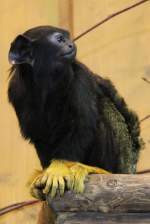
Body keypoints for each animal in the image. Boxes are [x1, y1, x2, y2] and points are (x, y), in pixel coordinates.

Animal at [7, 25, 142, 199]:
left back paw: (98, 169)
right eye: (60, 39)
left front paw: (59, 167)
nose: (71, 44)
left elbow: (82, 125)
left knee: (103, 108)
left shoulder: (80, 77)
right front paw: (47, 170)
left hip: (121, 154)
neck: (46, 81)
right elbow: (38, 134)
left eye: (67, 38)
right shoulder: (16, 91)